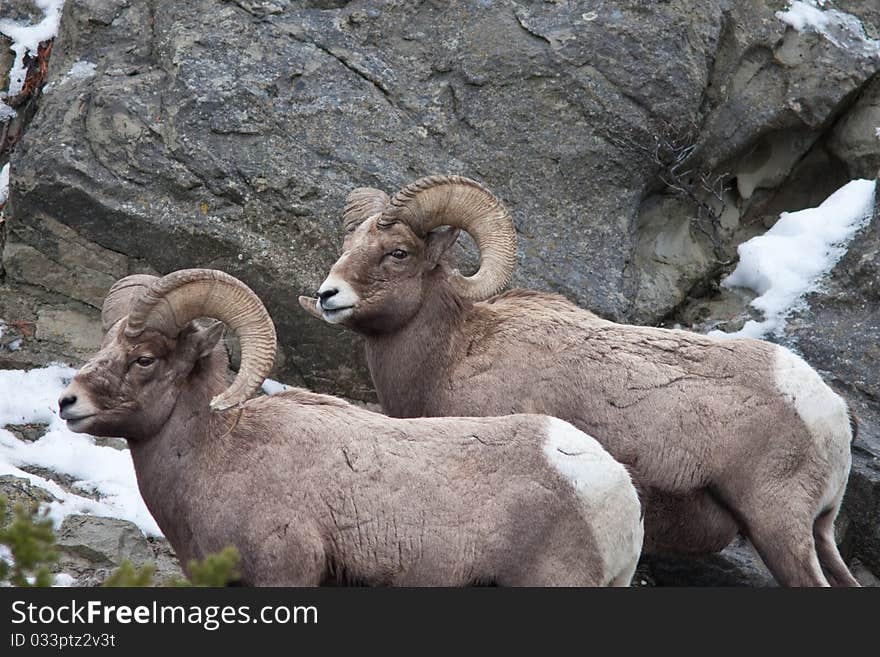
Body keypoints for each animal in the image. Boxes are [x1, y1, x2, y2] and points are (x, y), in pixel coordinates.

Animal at [58, 270, 644, 588]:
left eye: (145, 359)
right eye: (104, 345)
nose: (68, 402)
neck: (217, 458)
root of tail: (615, 490)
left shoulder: (284, 573)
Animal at [300, 173, 860, 584]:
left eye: (398, 252)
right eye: (349, 244)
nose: (329, 294)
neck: (453, 354)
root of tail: (830, 414)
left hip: (778, 528)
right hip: (816, 534)